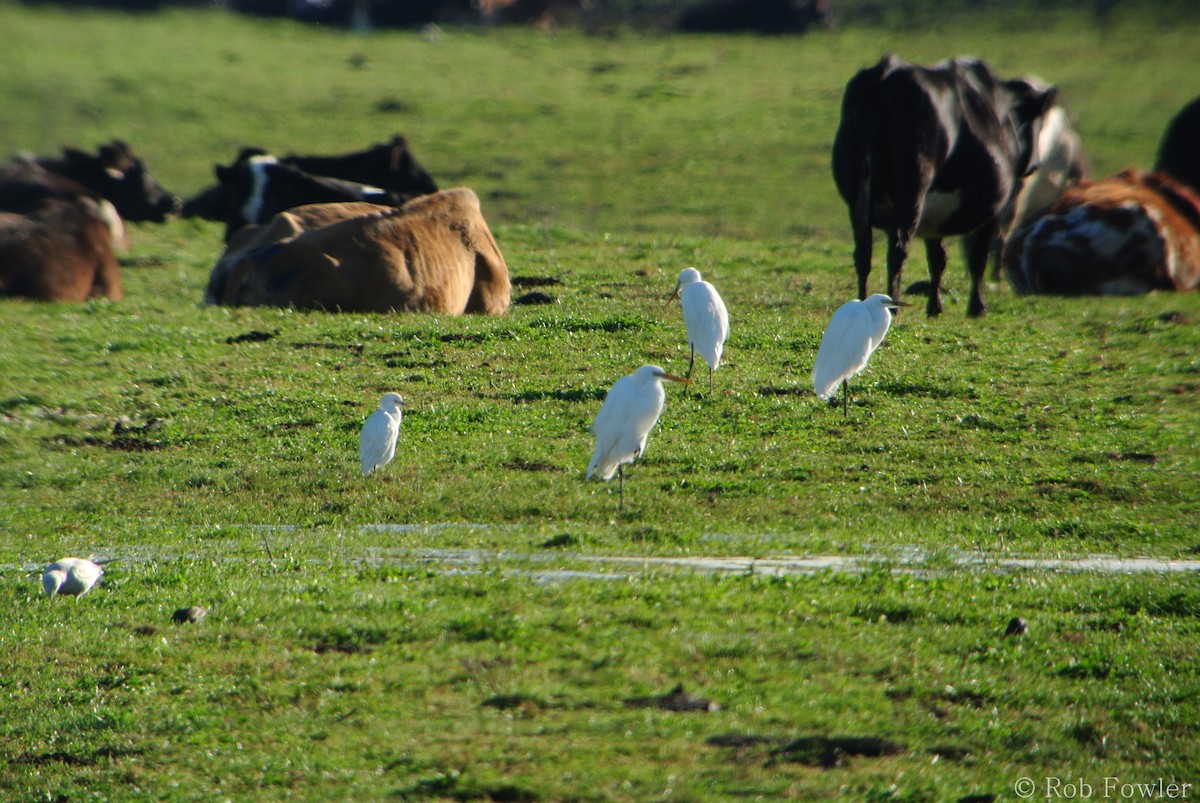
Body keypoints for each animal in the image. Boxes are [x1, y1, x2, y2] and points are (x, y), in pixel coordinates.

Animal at [830, 52, 1056, 316]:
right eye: (1039, 122)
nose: (1035, 164)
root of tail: (884, 74)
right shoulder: (995, 209)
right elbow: (978, 257)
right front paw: (977, 307)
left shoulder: (933, 214)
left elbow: (937, 257)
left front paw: (935, 306)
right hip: (913, 189)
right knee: (897, 248)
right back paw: (892, 306)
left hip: (859, 196)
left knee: (863, 251)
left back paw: (862, 302)